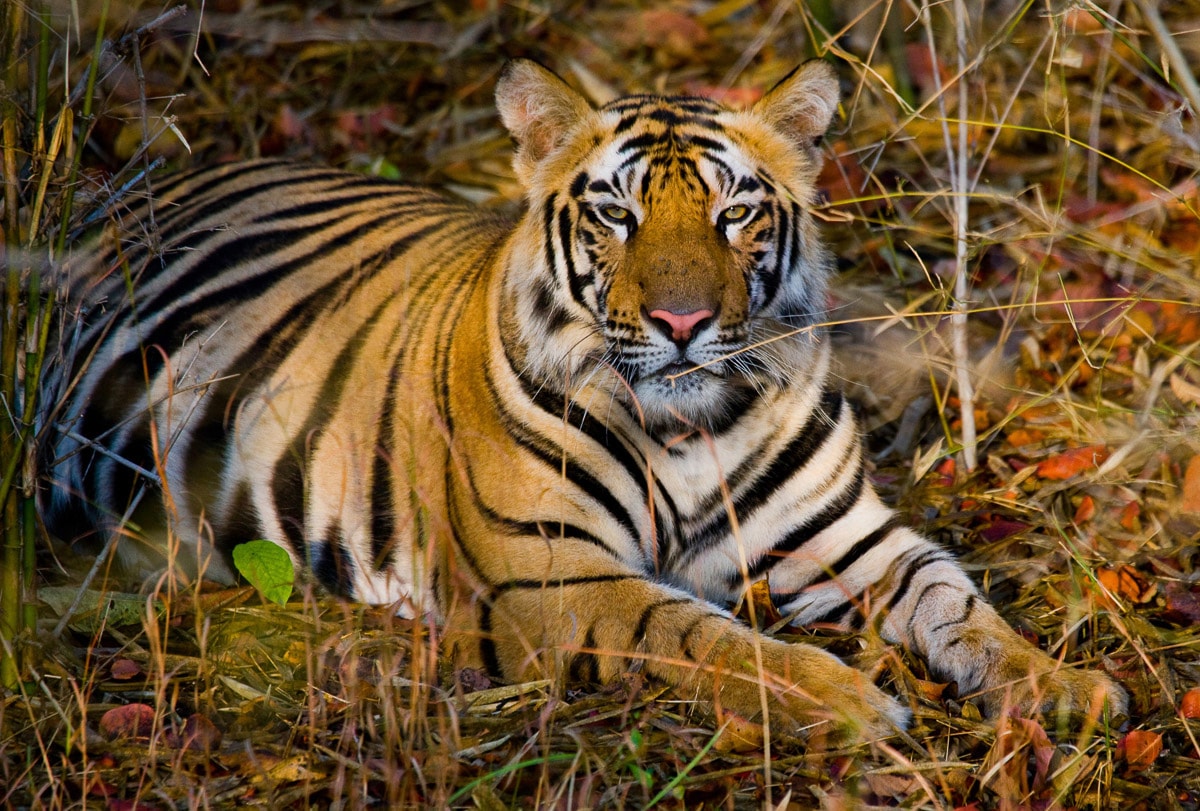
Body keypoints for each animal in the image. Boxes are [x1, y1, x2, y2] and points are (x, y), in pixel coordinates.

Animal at [39, 56, 1123, 739]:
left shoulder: (851, 540)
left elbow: (957, 599)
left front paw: (1065, 686)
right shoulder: (552, 577)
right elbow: (701, 635)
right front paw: (851, 701)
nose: (683, 321)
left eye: (735, 213)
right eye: (617, 212)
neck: (694, 423)